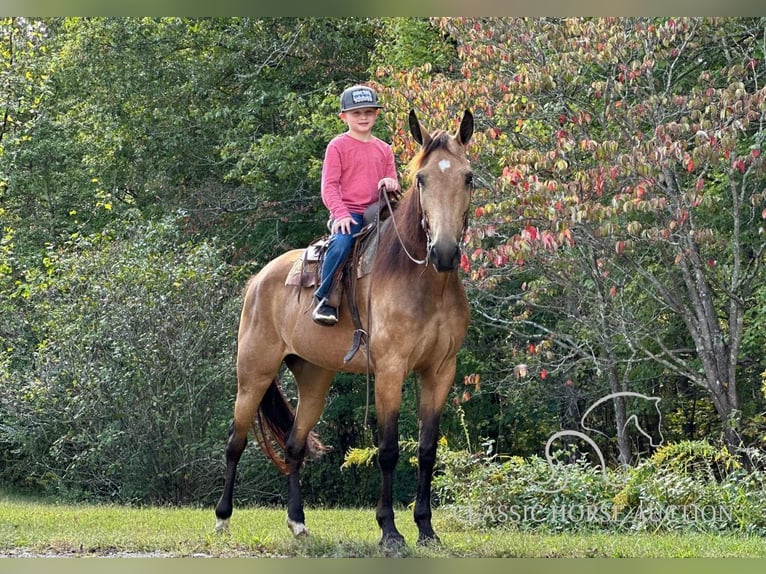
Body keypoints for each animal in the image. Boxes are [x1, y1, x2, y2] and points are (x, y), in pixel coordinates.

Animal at [216, 109, 476, 548]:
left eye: (468, 177)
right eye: (423, 179)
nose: (443, 252)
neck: (423, 282)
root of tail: (258, 279)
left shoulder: (440, 372)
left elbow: (427, 451)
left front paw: (426, 529)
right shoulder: (390, 371)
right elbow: (387, 450)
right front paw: (389, 531)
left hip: (315, 378)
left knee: (294, 446)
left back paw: (298, 522)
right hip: (253, 373)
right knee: (236, 441)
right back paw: (222, 519)